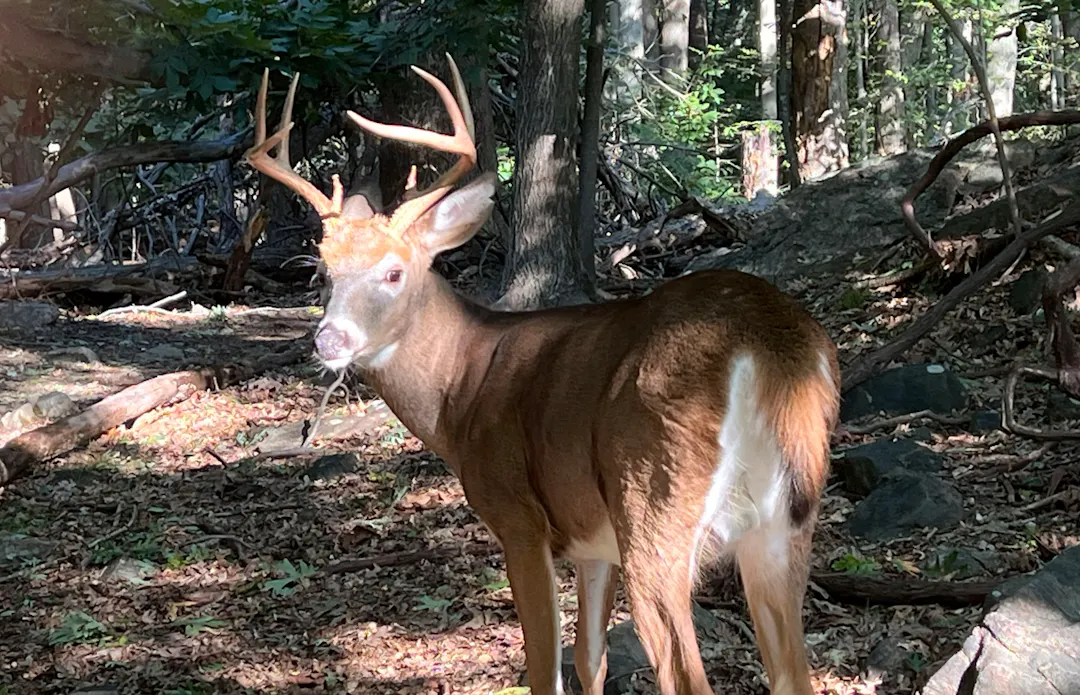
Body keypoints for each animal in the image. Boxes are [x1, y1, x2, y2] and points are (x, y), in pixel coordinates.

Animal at [243, 56, 840, 695]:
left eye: (394, 273)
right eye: (323, 274)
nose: (328, 340)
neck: (462, 388)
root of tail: (770, 345)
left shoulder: (518, 517)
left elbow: (543, 668)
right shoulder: (592, 540)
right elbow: (589, 658)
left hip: (654, 503)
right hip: (781, 526)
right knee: (793, 674)